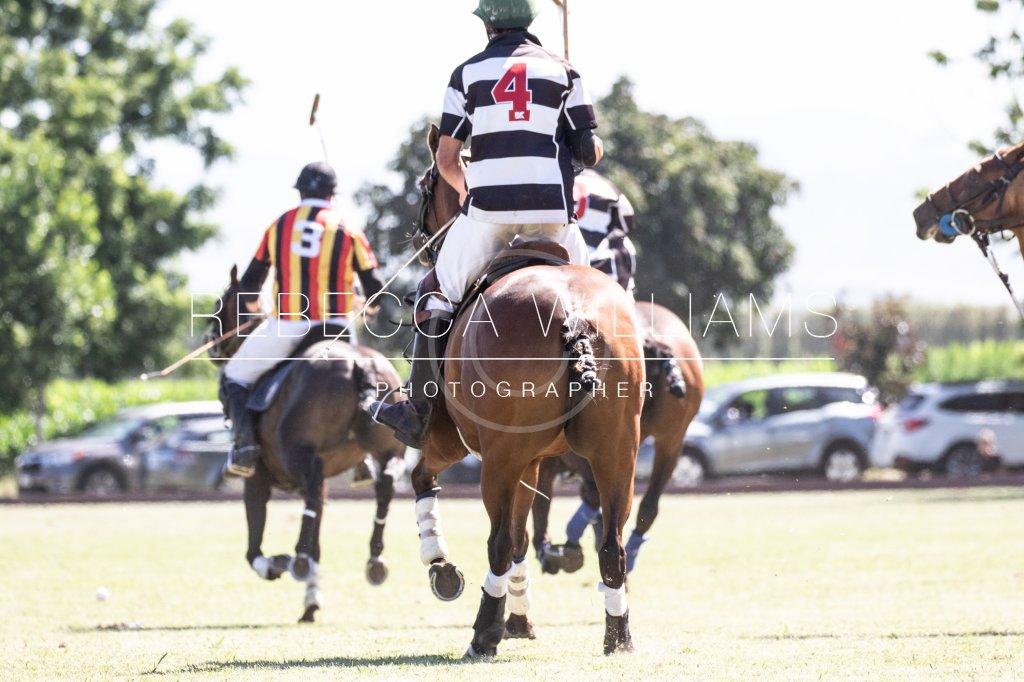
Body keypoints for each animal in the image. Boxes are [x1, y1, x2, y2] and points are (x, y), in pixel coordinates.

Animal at [208, 267, 407, 622]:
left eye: (221, 303)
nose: (208, 343)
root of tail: (360, 365)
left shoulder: (257, 477)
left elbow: (253, 546)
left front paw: (276, 565)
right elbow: (318, 539)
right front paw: (311, 603)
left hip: (298, 453)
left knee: (313, 488)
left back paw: (296, 559)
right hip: (390, 448)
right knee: (385, 485)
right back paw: (374, 560)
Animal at [406, 125, 646, 657]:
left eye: (424, 185)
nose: (418, 237)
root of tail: (573, 314)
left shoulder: (456, 441)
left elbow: (420, 477)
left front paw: (442, 568)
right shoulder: (534, 459)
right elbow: (521, 537)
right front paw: (519, 620)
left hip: (498, 456)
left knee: (497, 542)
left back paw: (481, 634)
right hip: (617, 452)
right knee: (611, 545)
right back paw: (618, 636)